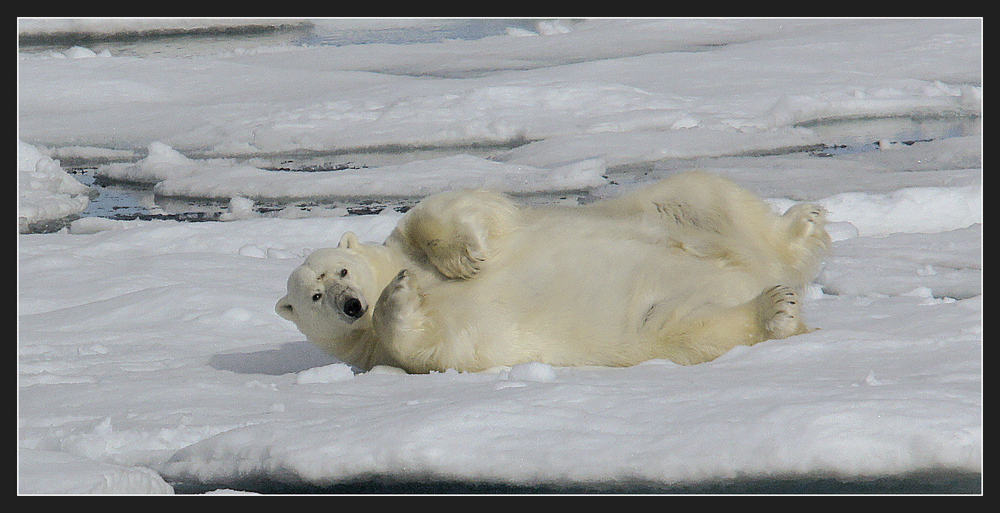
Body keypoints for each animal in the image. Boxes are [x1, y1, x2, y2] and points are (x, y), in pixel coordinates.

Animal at [274, 172, 828, 372]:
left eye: (342, 269)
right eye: (314, 297)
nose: (353, 305)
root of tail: (746, 269)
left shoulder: (404, 244)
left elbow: (441, 210)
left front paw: (465, 257)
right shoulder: (383, 354)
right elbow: (437, 347)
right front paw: (398, 296)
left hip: (657, 211)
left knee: (701, 195)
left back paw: (803, 226)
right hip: (654, 320)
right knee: (694, 329)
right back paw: (774, 305)